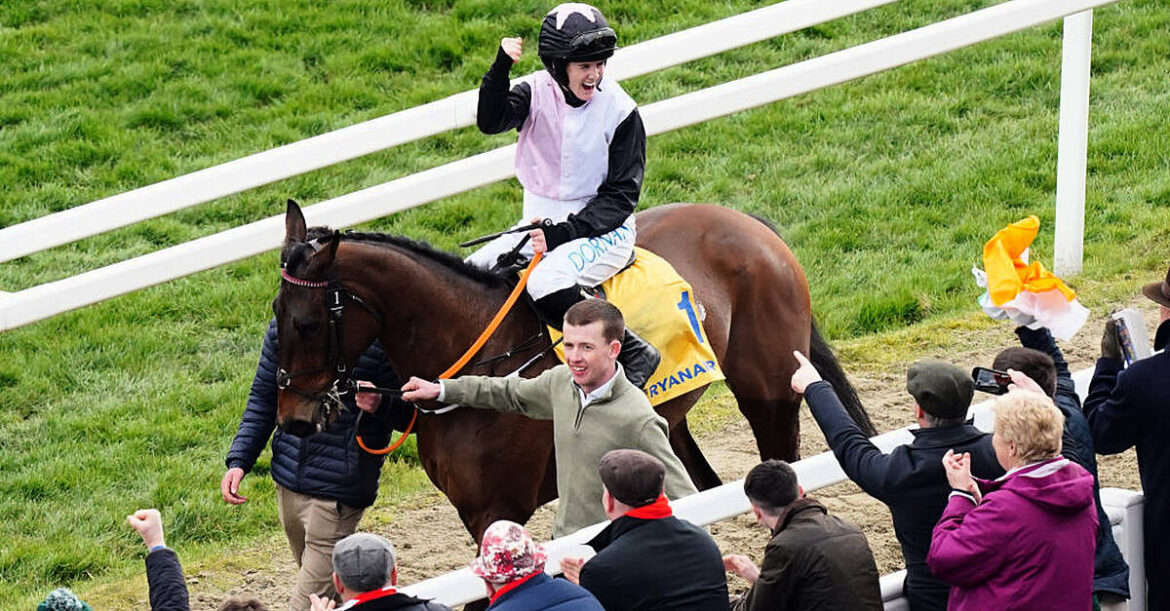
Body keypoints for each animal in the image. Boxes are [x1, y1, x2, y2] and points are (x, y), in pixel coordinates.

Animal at [276, 198, 879, 538]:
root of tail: (747, 223)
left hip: (768, 392)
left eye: (306, 322)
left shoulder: (497, 508)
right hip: (667, 424)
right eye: (277, 314)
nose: (293, 418)